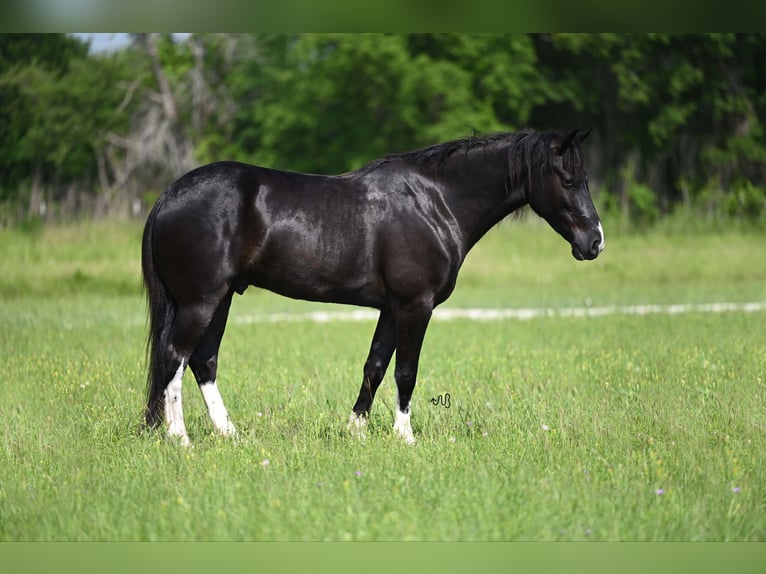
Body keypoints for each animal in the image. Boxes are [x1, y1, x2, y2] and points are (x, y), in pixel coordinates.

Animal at [141, 128, 604, 448]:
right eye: (567, 179)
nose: (595, 241)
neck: (436, 202)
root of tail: (169, 195)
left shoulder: (391, 308)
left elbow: (375, 366)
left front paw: (356, 431)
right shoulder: (416, 306)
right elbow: (406, 372)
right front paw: (405, 437)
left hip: (220, 300)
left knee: (203, 360)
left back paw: (229, 433)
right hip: (201, 301)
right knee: (175, 357)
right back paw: (180, 438)